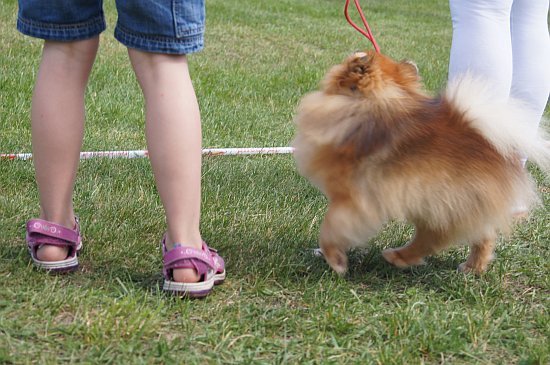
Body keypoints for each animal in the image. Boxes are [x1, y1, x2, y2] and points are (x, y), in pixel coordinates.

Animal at [294, 50, 550, 272]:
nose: (353, 53)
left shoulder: (352, 197)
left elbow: (331, 226)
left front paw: (335, 259)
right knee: (482, 236)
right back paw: (472, 268)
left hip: (442, 202)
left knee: (433, 239)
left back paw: (398, 256)